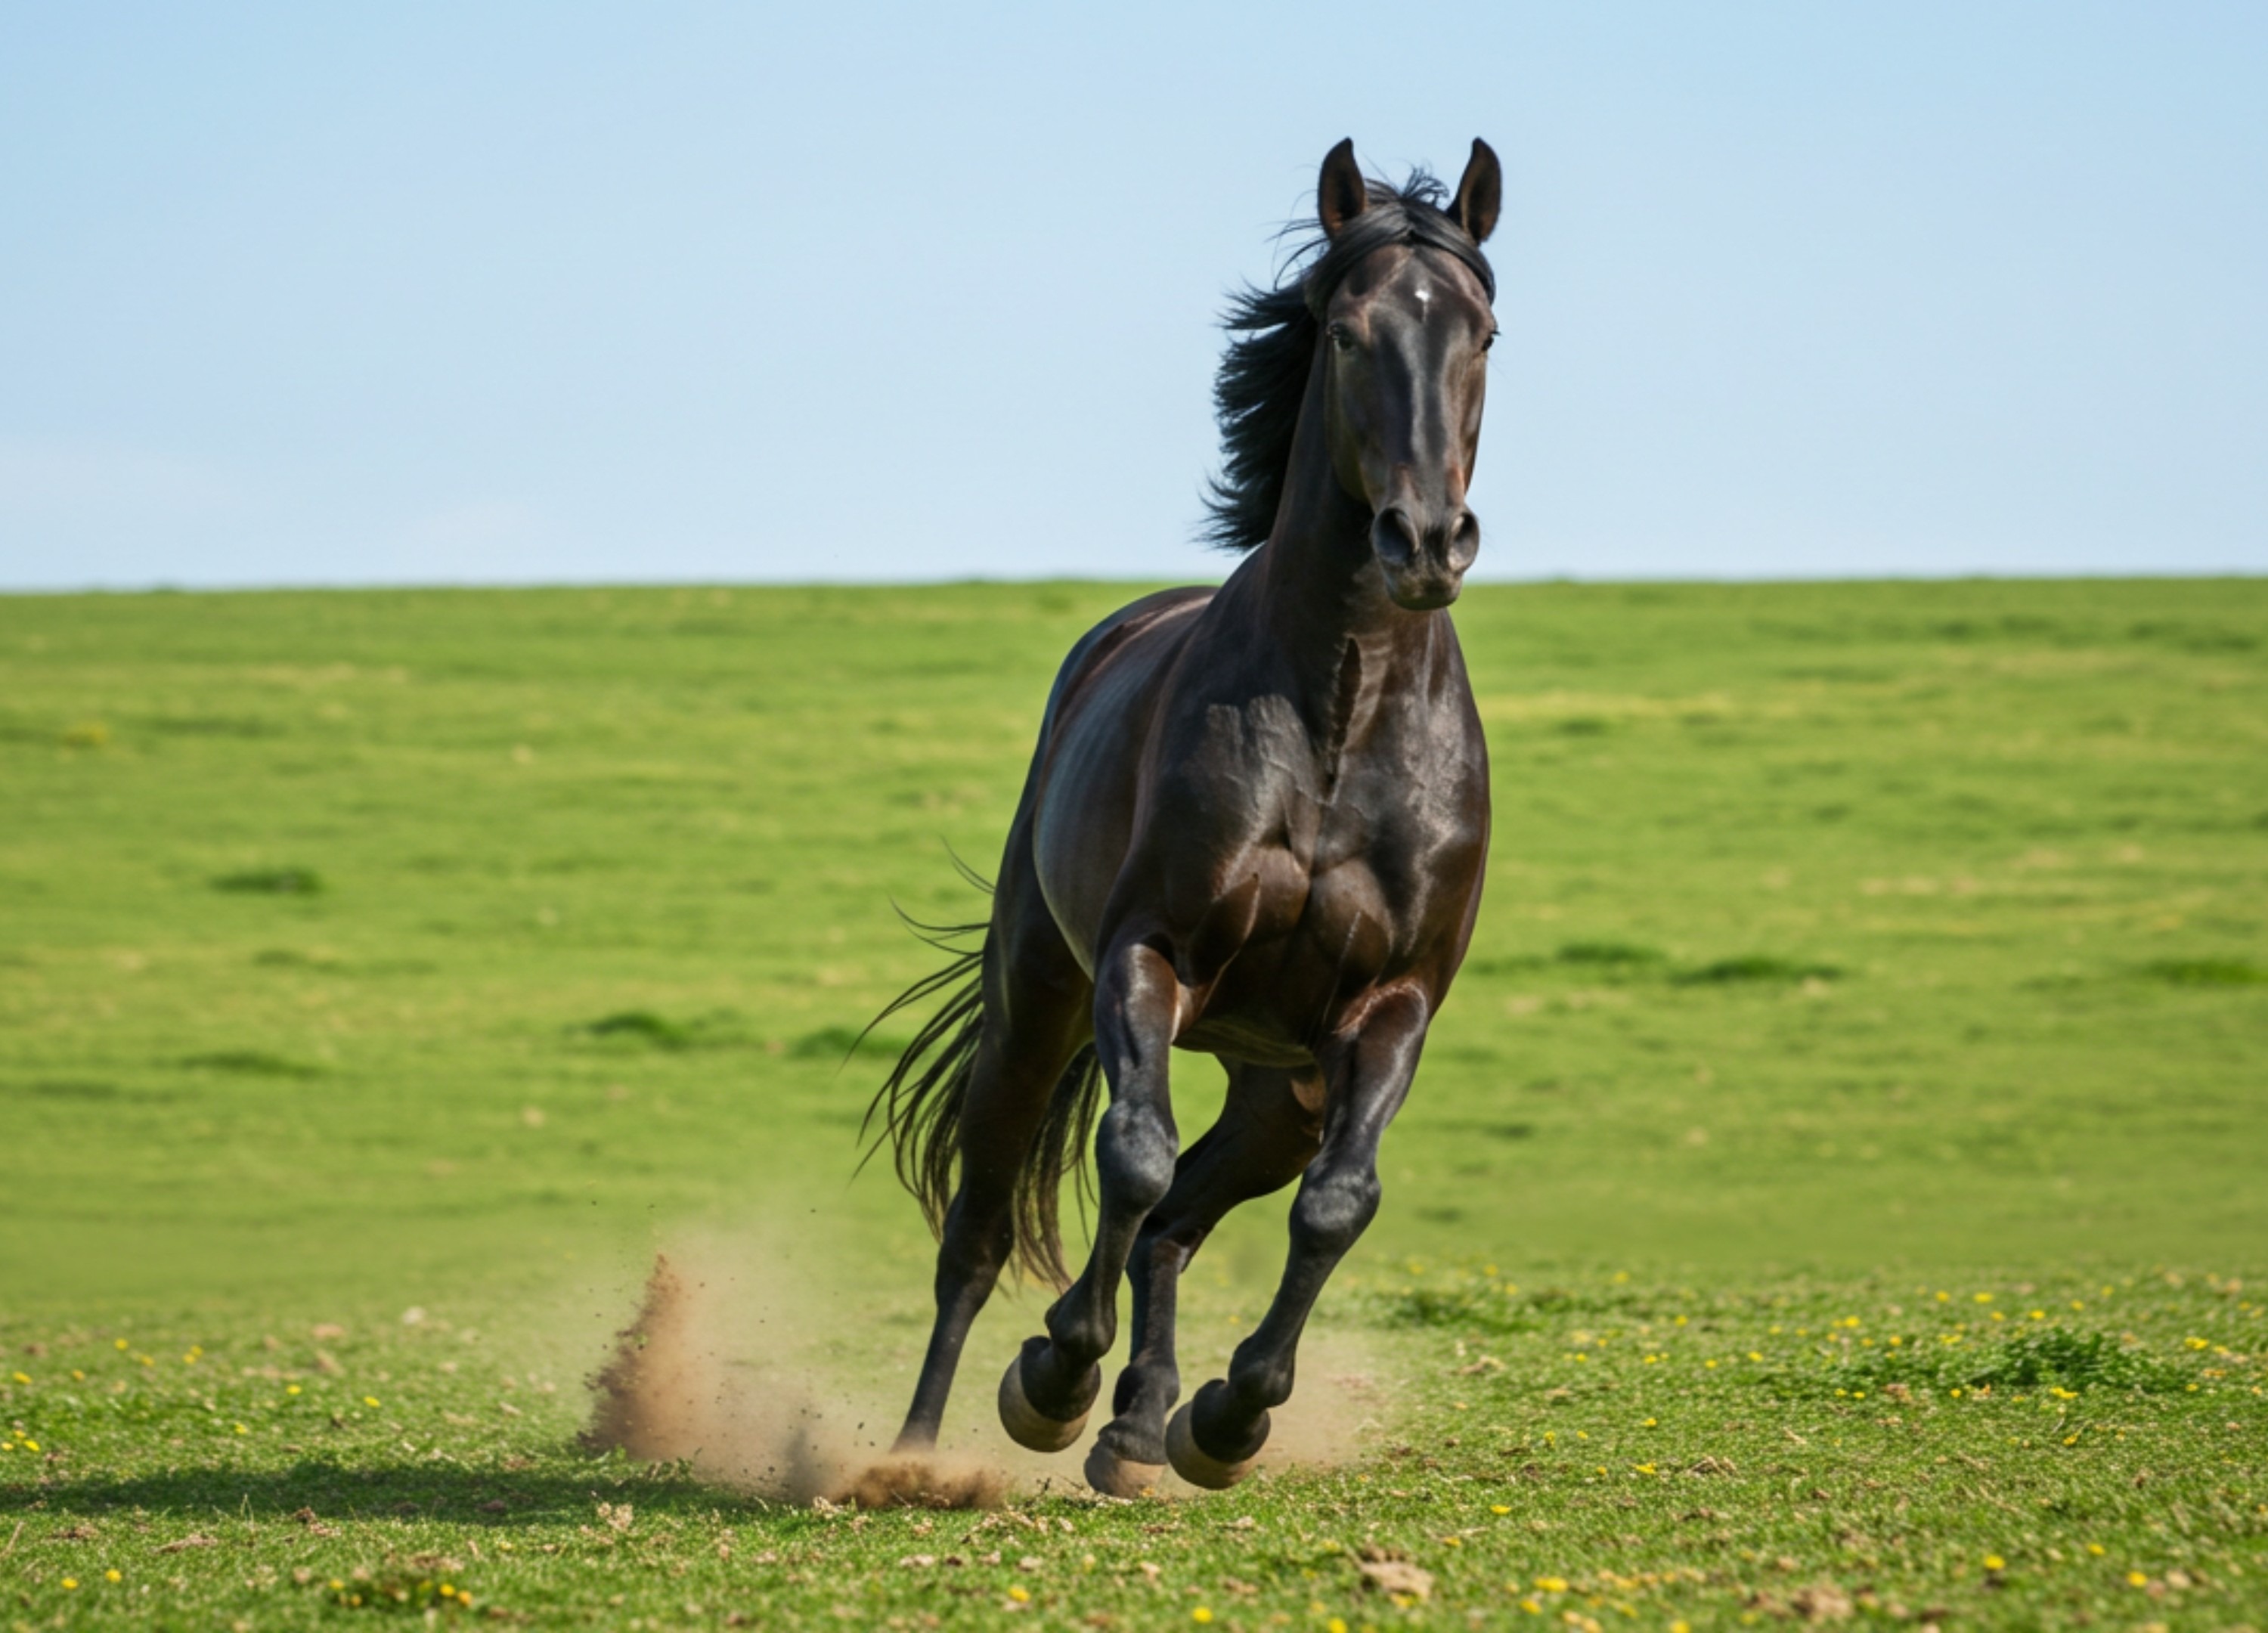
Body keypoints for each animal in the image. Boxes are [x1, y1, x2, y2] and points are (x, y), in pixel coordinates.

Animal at [863, 137, 1501, 1496]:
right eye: (1349, 332)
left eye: (1483, 332)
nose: (1425, 541)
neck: (1339, 714)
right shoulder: (1147, 955)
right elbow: (1132, 1156)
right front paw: (1052, 1376)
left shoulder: (1390, 1011)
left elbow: (1335, 1204)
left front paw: (1227, 1416)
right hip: (1039, 1002)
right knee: (986, 1229)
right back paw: (925, 1449)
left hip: (1277, 1090)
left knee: (1180, 1224)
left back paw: (1144, 1423)